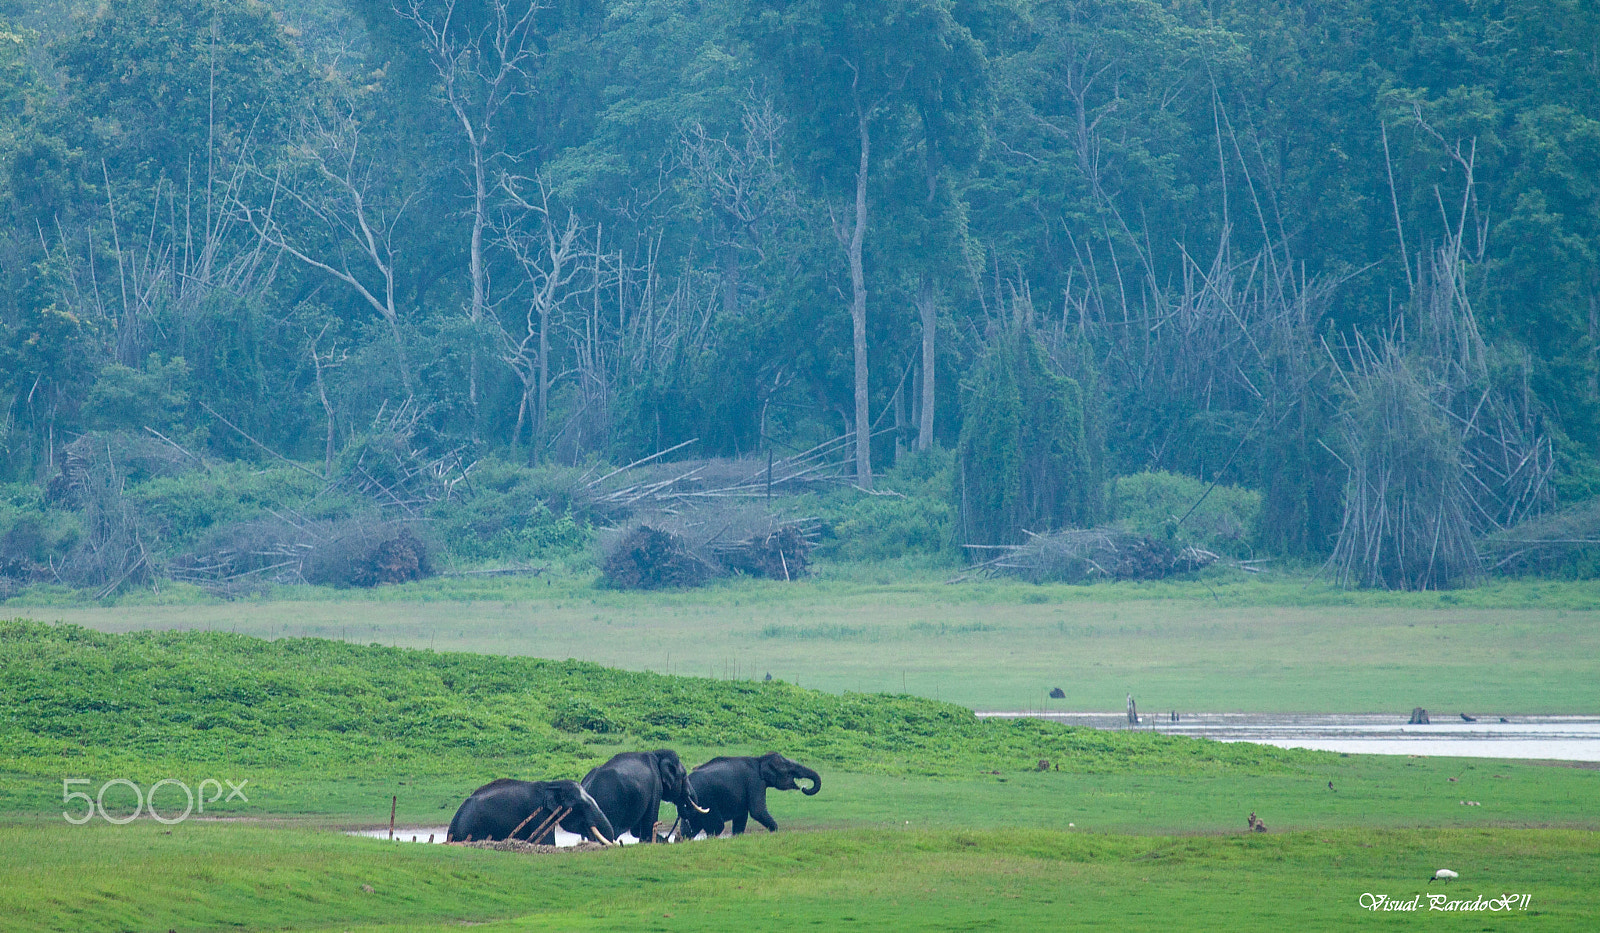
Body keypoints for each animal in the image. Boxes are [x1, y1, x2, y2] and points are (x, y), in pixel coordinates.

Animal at [566, 752, 710, 844]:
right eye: (684, 775)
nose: (669, 837)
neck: (657, 755)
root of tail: (587, 786)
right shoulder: (655, 787)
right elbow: (649, 821)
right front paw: (658, 841)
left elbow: (636, 829)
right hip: (608, 803)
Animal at [681, 752, 819, 838]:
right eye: (789, 770)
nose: (803, 788)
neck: (759, 759)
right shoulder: (755, 782)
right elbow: (757, 811)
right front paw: (775, 832)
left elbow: (741, 816)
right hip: (706, 800)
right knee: (717, 826)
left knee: (690, 828)